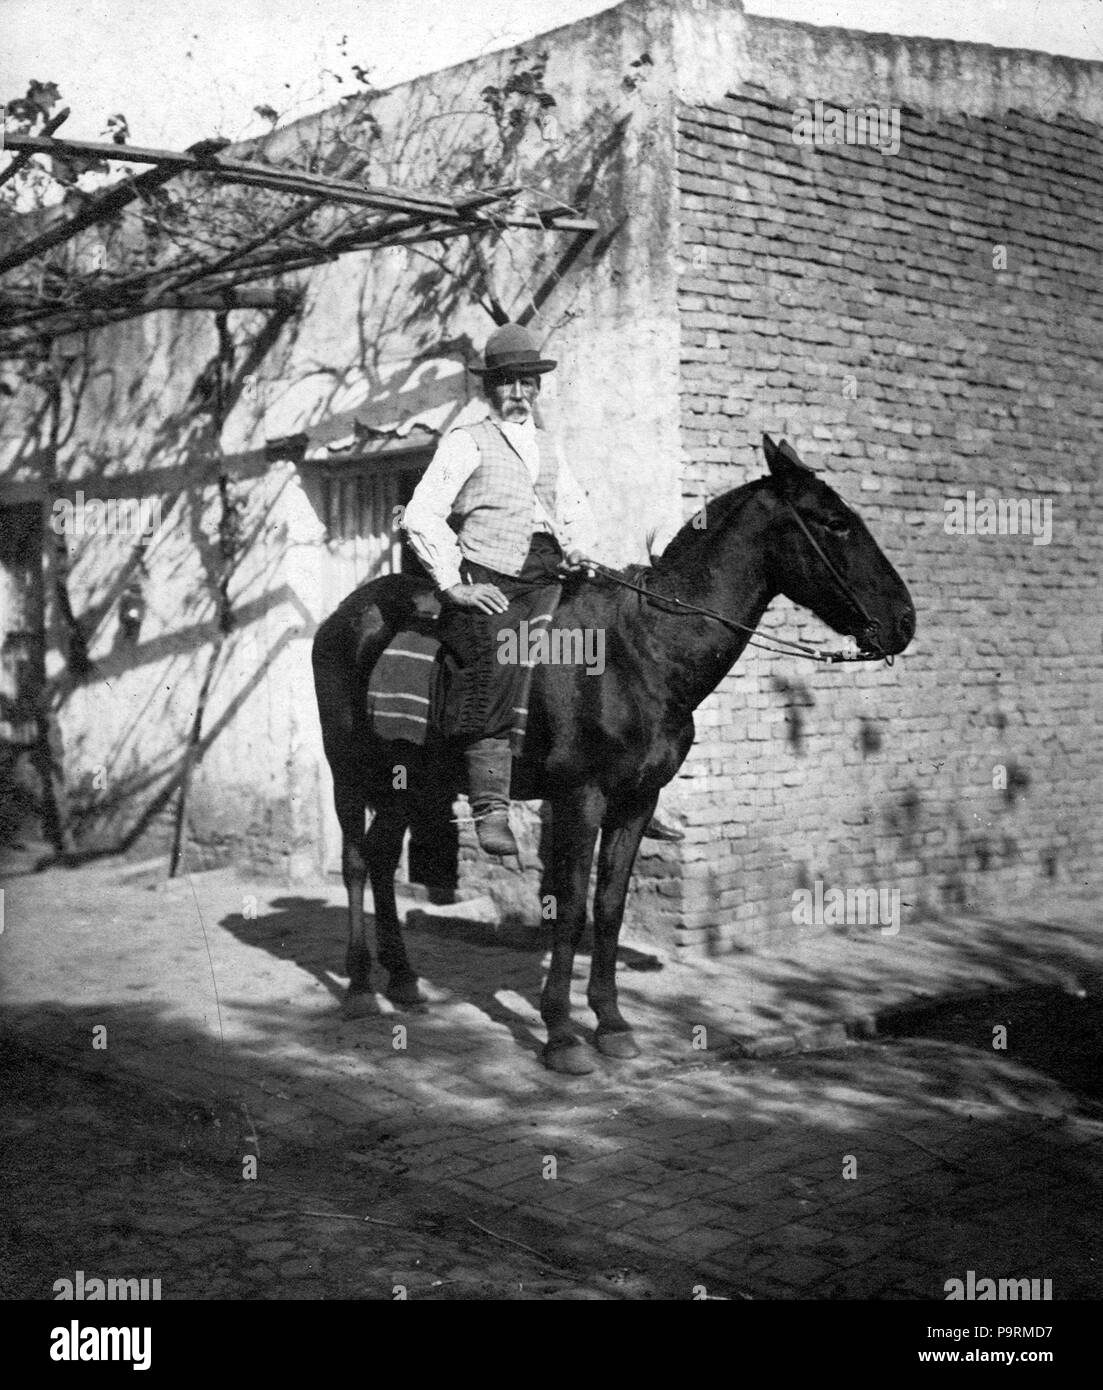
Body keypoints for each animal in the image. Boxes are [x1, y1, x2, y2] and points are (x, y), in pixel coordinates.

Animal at [309, 433, 911, 1073]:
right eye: (835, 522)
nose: (904, 620)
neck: (643, 650)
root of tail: (345, 616)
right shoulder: (581, 797)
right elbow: (572, 907)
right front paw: (561, 1033)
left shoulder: (637, 800)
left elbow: (610, 906)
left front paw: (612, 1022)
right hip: (349, 769)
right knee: (354, 862)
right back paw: (360, 988)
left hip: (411, 780)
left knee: (379, 856)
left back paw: (402, 981)